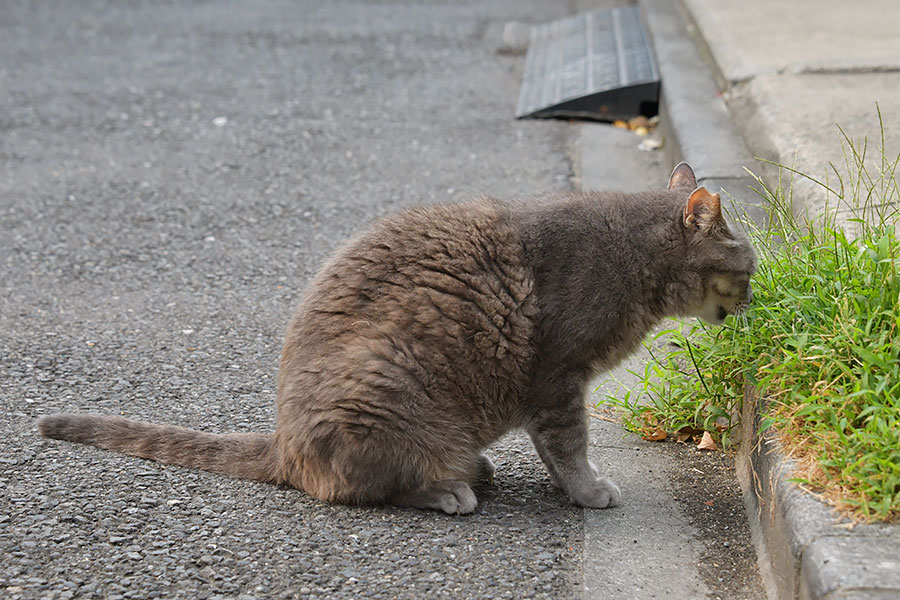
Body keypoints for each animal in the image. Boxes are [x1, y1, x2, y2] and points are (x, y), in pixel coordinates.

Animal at [37, 162, 752, 512]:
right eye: (748, 266)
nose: (753, 301)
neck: (636, 263)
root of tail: (281, 443)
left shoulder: (549, 390)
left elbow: (557, 450)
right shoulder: (556, 379)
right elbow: (569, 445)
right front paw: (586, 490)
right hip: (386, 379)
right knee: (359, 483)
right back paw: (449, 488)